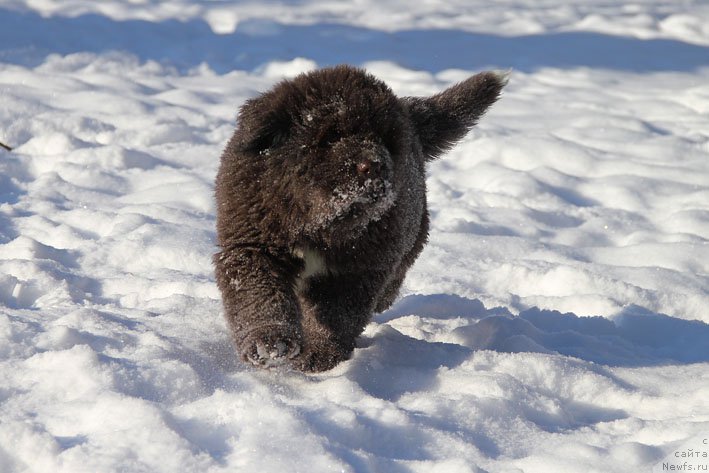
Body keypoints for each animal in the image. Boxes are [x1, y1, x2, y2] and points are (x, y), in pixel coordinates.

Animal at [213, 64, 506, 370]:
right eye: (331, 135)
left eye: (385, 139)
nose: (375, 165)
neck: (319, 222)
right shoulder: (253, 245)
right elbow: (260, 294)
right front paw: (269, 342)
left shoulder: (356, 268)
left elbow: (337, 315)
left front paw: (320, 353)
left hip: (412, 233)